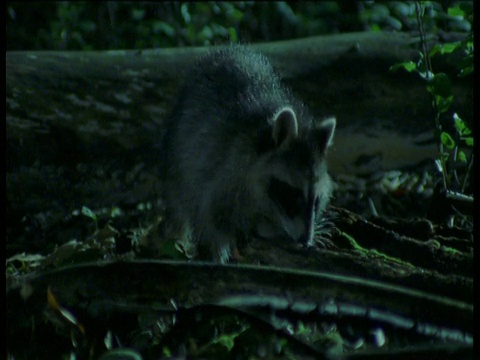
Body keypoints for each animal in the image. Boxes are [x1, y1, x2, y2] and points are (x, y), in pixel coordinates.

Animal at [161, 45, 334, 264]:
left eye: (316, 200)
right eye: (292, 193)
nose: (306, 240)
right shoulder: (226, 171)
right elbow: (215, 217)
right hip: (178, 160)